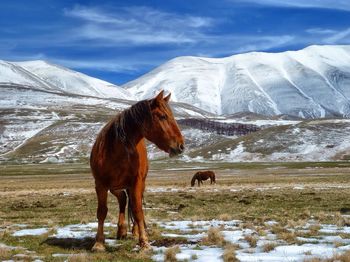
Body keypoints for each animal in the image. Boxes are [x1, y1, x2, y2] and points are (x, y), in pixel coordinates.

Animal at [89, 90, 185, 252]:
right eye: (163, 116)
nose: (181, 146)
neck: (116, 151)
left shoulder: (136, 182)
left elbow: (138, 210)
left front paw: (144, 242)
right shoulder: (100, 184)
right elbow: (102, 211)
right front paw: (99, 243)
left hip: (138, 184)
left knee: (133, 203)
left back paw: (133, 232)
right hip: (115, 186)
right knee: (122, 199)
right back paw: (121, 230)